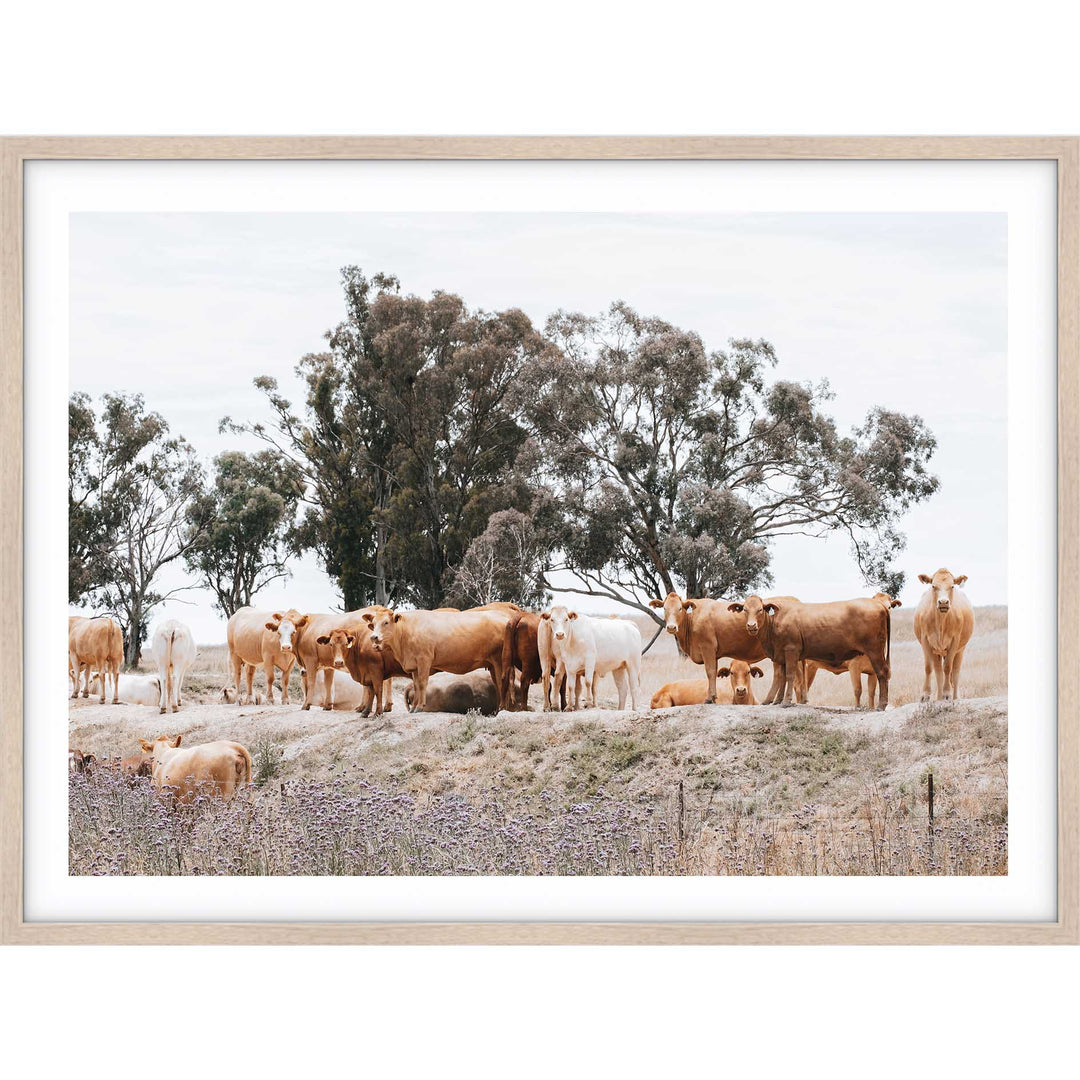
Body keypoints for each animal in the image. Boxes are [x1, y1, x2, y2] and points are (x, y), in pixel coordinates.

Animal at [362, 607, 516, 713]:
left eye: (386, 622)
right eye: (373, 623)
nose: (374, 637)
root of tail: (504, 617)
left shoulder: (424, 659)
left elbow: (422, 683)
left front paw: (420, 707)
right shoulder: (415, 665)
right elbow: (416, 685)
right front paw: (414, 707)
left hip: (499, 660)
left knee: (503, 682)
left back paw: (503, 707)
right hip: (493, 664)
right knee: (498, 683)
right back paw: (501, 708)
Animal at [728, 594, 892, 710]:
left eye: (760, 610)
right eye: (745, 610)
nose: (751, 625)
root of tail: (879, 605)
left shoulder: (791, 651)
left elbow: (789, 676)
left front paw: (786, 701)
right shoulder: (781, 655)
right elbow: (781, 678)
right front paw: (777, 701)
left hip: (875, 651)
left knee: (882, 673)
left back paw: (881, 705)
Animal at [914, 569, 974, 701]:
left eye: (952, 586)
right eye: (933, 586)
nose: (943, 602)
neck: (941, 622)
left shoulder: (954, 641)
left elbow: (947, 667)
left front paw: (947, 693)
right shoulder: (926, 641)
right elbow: (931, 668)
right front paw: (926, 694)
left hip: (960, 650)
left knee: (955, 672)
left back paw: (955, 697)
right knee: (937, 670)